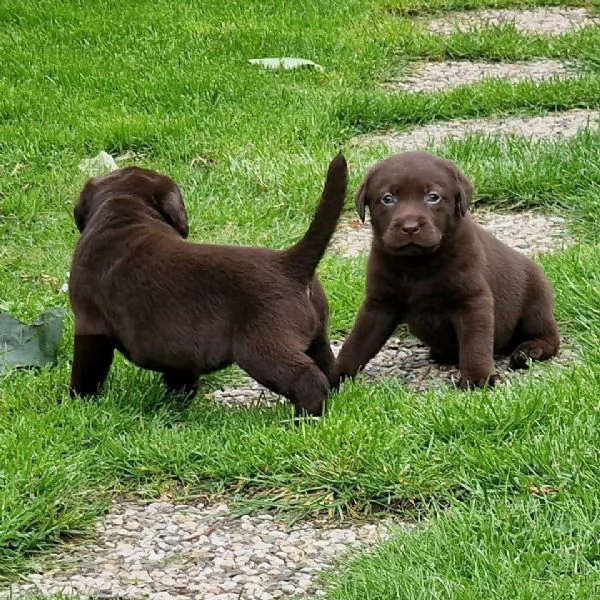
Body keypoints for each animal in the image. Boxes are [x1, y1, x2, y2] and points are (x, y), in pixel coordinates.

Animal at [69, 157, 346, 414]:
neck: (122, 211)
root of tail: (290, 264)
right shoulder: (179, 350)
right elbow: (181, 378)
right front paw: (173, 407)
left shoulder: (90, 326)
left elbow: (86, 371)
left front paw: (78, 403)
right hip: (318, 336)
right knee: (329, 370)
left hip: (262, 347)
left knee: (307, 379)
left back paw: (302, 420)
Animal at [336, 152, 560, 390]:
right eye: (388, 198)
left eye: (433, 197)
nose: (410, 227)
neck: (417, 264)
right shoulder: (379, 304)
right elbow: (357, 343)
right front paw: (335, 375)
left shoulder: (472, 301)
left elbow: (475, 345)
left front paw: (478, 379)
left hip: (536, 304)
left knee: (548, 337)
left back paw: (529, 351)